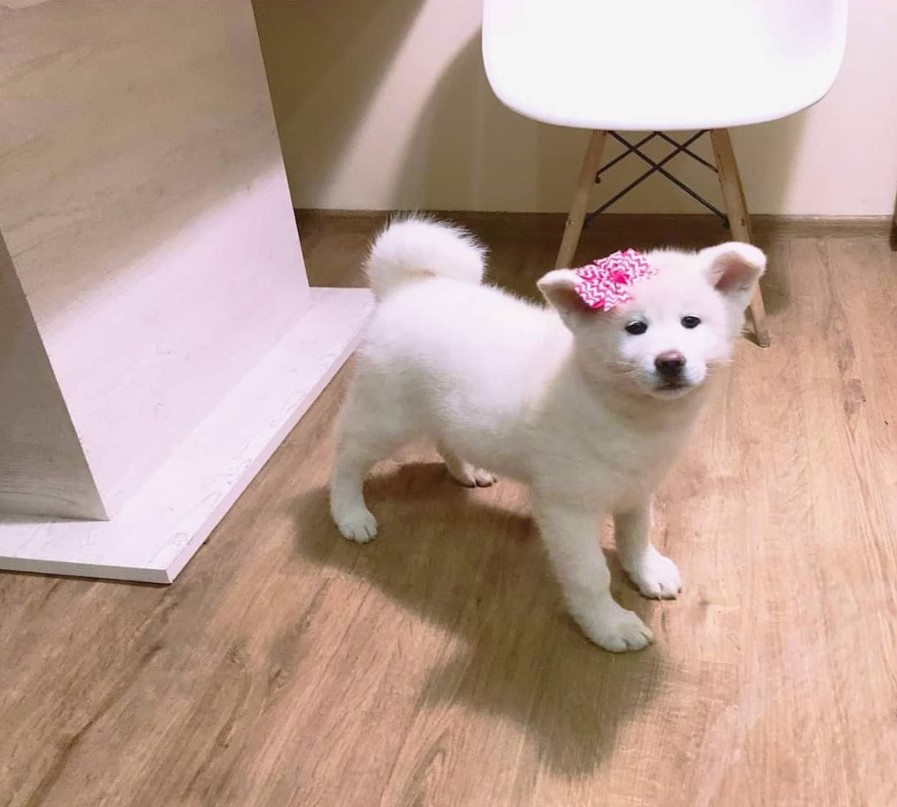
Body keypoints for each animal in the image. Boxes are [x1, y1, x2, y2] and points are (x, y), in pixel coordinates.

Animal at [328, 218, 764, 652]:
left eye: (691, 322)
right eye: (635, 328)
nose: (670, 361)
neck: (625, 412)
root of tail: (405, 289)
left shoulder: (637, 487)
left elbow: (637, 535)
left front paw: (647, 570)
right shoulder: (566, 509)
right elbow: (590, 575)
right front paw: (608, 624)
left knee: (445, 438)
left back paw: (466, 470)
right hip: (386, 418)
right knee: (347, 458)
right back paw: (349, 513)